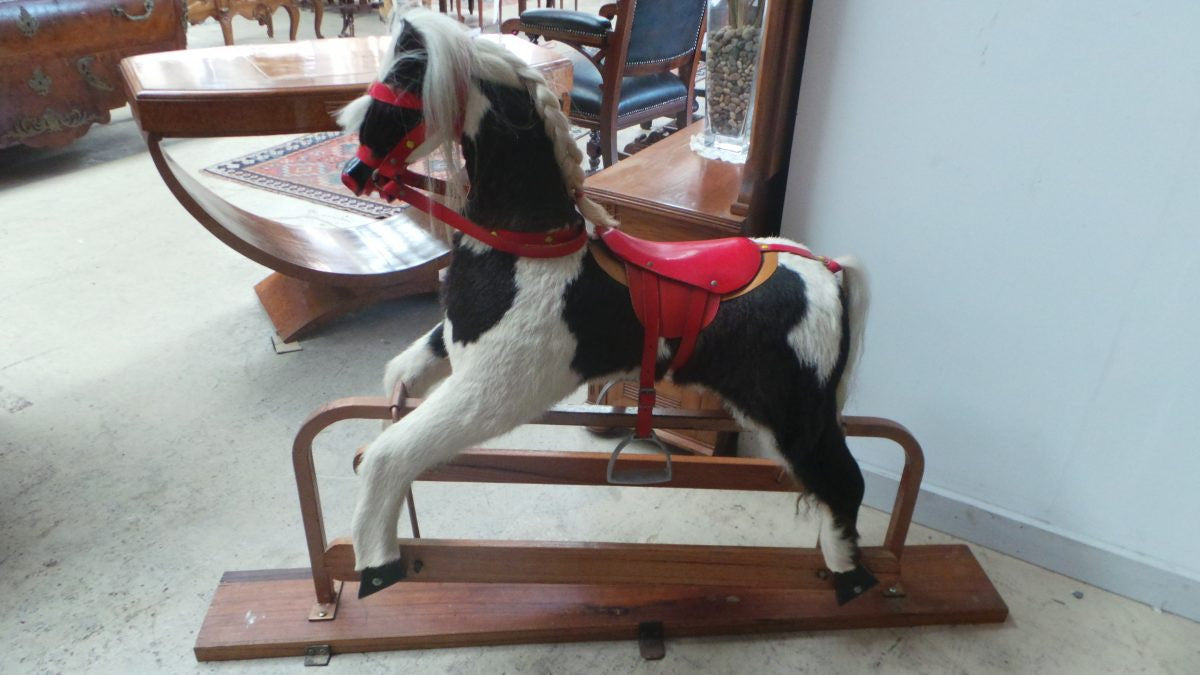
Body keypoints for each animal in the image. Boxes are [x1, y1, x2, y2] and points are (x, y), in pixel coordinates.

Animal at [337, 6, 876, 605]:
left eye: (404, 81)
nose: (354, 172)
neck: (527, 250)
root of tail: (826, 271)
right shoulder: (458, 343)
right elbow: (406, 369)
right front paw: (398, 389)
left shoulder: (490, 393)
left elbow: (388, 458)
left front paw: (377, 563)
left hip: (795, 416)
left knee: (845, 484)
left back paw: (848, 577)